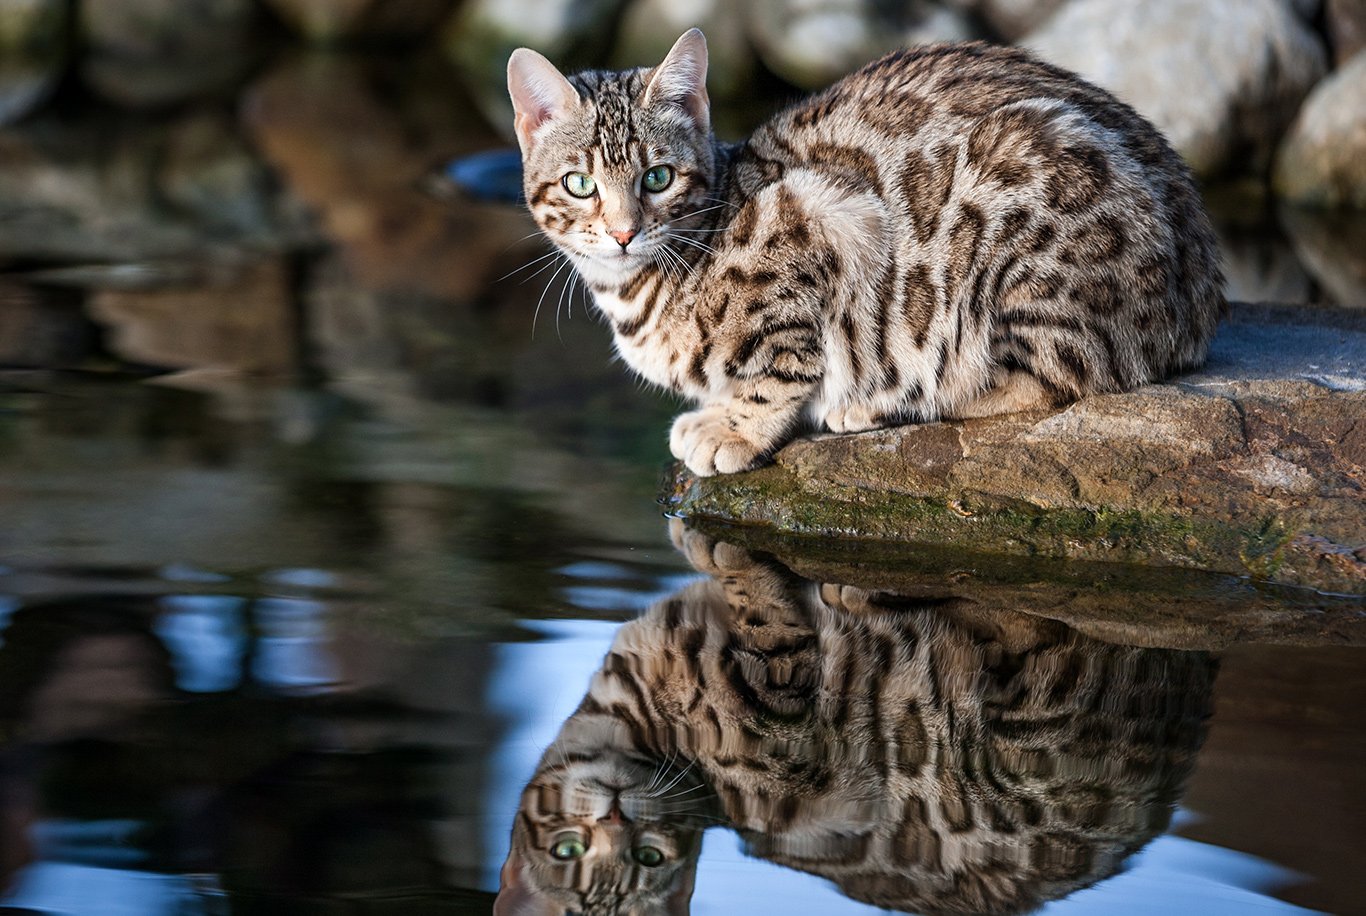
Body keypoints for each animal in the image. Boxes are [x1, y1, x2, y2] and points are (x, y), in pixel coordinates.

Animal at [494, 524, 1218, 916]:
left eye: (649, 858)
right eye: (567, 851)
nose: (618, 817)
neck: (634, 717)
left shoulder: (781, 716)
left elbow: (765, 620)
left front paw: (723, 553)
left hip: (1021, 732)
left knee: (1033, 614)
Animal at [505, 30, 1229, 472]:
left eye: (657, 177)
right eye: (579, 184)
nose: (624, 231)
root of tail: (1203, 286)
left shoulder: (820, 218)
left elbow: (779, 364)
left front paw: (736, 429)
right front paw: (715, 411)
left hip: (1013, 212)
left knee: (1053, 377)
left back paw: (884, 401)